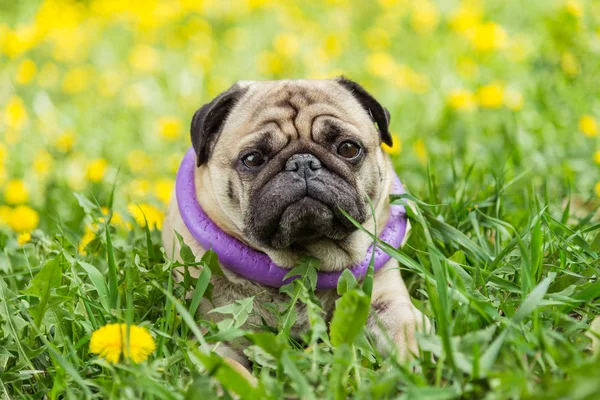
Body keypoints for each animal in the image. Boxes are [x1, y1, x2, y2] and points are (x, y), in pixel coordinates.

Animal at [162, 76, 428, 370]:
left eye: (348, 148)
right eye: (252, 158)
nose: (302, 163)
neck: (309, 257)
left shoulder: (388, 303)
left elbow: (406, 333)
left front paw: (412, 367)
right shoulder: (217, 341)